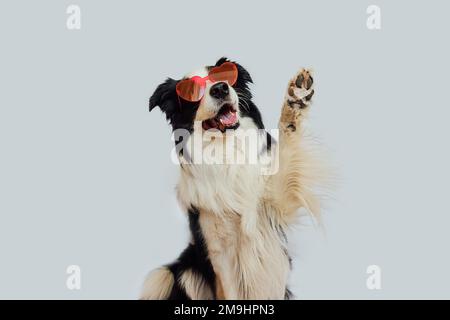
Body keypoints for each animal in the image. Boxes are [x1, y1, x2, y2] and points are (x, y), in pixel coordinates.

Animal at [142, 57, 322, 300]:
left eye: (225, 75)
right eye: (192, 91)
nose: (220, 89)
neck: (226, 151)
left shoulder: (273, 207)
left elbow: (287, 148)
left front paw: (297, 98)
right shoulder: (219, 252)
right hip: (173, 273)